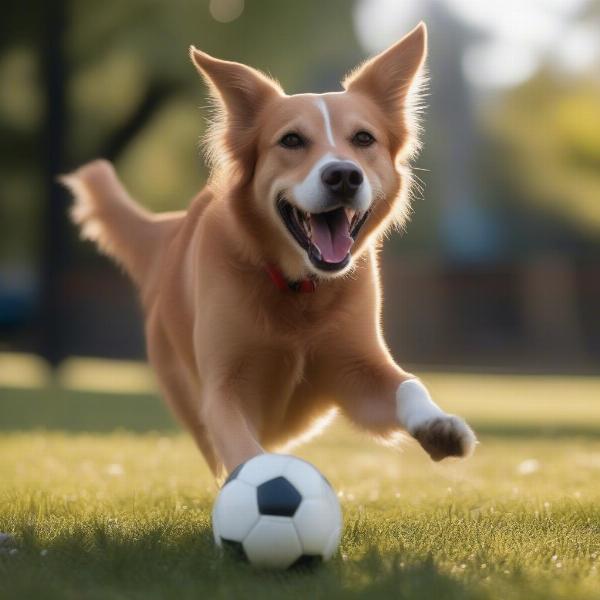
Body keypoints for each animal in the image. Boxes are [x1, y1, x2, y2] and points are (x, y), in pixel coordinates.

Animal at [63, 23, 476, 478]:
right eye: (291, 140)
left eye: (363, 138)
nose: (343, 175)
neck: (298, 287)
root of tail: (171, 231)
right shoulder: (222, 389)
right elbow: (242, 446)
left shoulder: (358, 371)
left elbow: (408, 385)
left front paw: (438, 425)